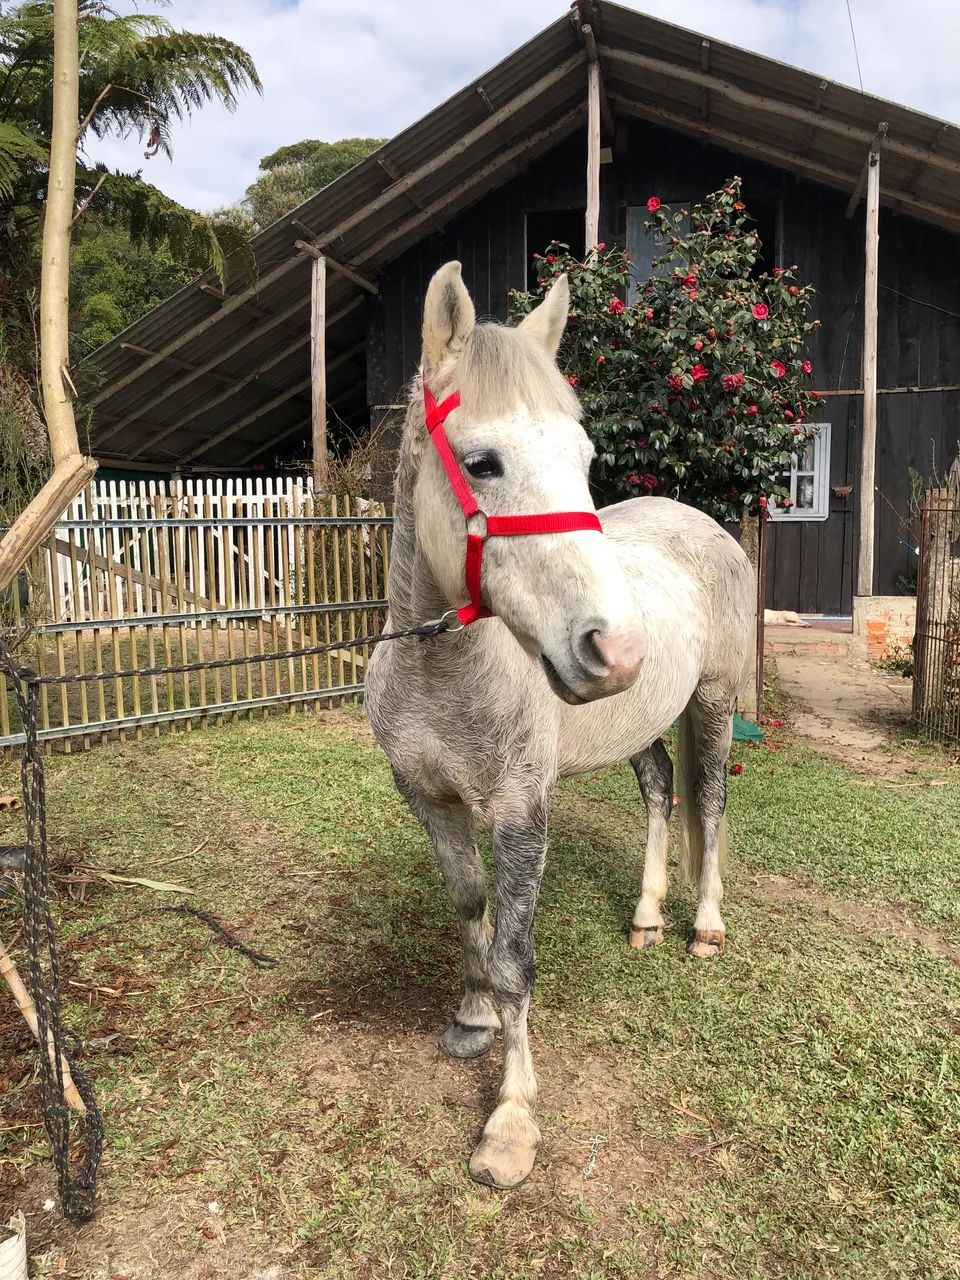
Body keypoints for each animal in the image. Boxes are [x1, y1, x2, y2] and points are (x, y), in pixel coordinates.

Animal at [366, 261, 754, 1191]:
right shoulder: (430, 800)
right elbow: (469, 910)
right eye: (483, 462)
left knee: (709, 806)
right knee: (659, 792)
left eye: (583, 460)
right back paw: (646, 916)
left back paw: (704, 926)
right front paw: (471, 1018)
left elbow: (515, 957)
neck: (440, 668)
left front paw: (511, 1120)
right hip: (638, 724)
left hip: (714, 703)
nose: (617, 647)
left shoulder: (519, 813)